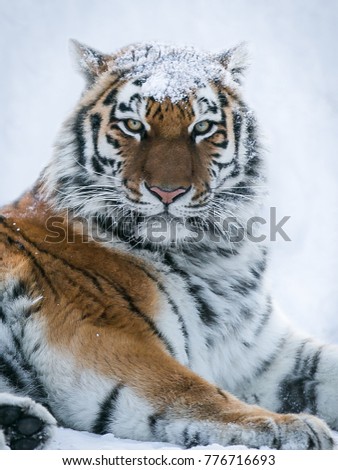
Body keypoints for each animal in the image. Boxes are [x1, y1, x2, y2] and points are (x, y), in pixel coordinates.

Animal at [0, 41, 338, 452]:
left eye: (203, 127)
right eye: (133, 125)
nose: (167, 192)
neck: (215, 257)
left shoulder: (266, 355)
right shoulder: (106, 331)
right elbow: (191, 390)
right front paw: (290, 427)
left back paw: (20, 423)